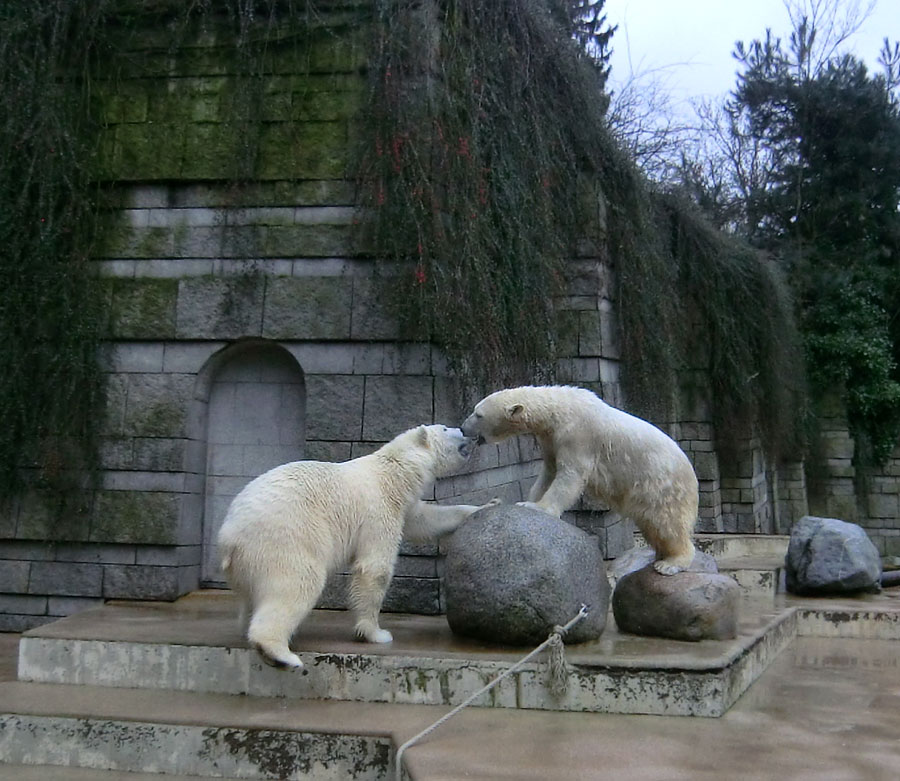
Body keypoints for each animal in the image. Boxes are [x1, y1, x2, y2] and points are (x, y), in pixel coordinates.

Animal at [217, 424, 482, 668]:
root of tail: (229, 536)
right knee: (297, 584)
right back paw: (281, 654)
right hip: (284, 539)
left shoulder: (403, 507)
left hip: (248, 564)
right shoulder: (379, 509)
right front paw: (376, 634)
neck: (394, 473)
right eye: (445, 428)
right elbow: (374, 569)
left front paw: (481, 507)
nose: (463, 429)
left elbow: (424, 521)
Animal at [460, 384, 700, 572]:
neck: (560, 410)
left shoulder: (578, 437)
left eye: (478, 414)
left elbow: (569, 477)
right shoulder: (550, 440)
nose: (462, 428)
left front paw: (538, 507)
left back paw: (670, 563)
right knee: (652, 525)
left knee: (667, 523)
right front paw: (527, 501)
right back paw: (660, 556)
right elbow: (548, 472)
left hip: (662, 486)